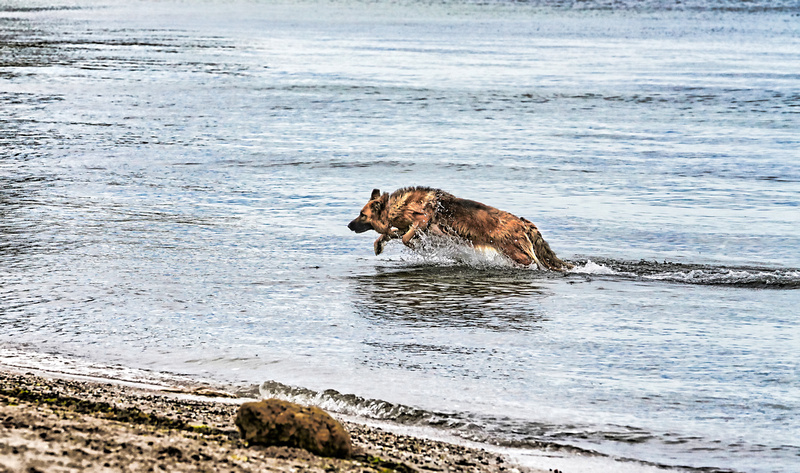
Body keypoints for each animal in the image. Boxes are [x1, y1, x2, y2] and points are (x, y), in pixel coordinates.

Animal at [346, 187, 572, 272]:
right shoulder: (413, 227)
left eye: (362, 215)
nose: (348, 225)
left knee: (530, 261)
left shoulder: (423, 220)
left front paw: (417, 246)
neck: (396, 206)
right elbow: (391, 234)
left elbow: (404, 237)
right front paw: (379, 244)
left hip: (513, 250)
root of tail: (522, 221)